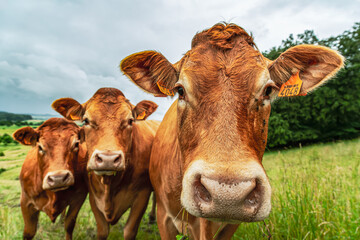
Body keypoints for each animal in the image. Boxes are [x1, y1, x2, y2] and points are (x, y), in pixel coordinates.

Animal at [52, 88, 160, 240]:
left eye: (130, 121)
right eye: (86, 120)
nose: (108, 159)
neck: (110, 184)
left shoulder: (142, 195)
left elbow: (129, 231)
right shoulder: (94, 196)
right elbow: (102, 231)